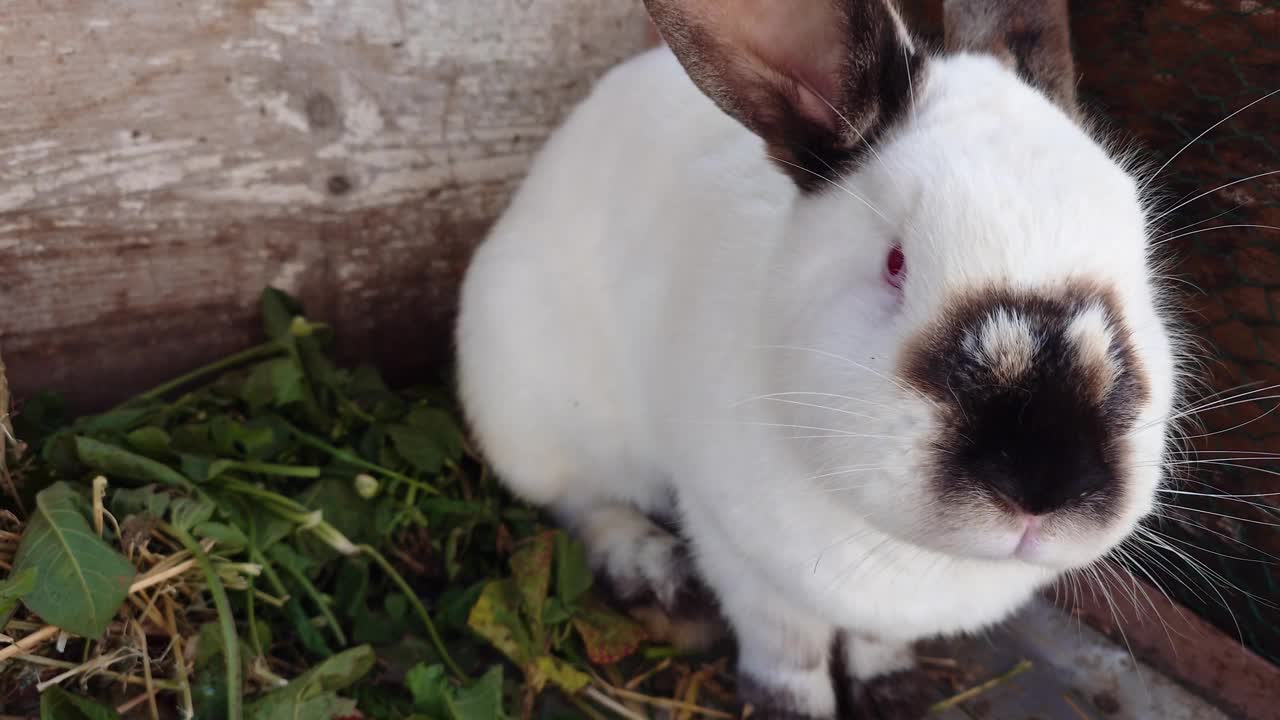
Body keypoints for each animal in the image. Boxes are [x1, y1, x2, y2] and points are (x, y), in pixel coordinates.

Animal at [455, 0, 1182, 712]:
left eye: (1142, 258)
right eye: (895, 263)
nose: (1045, 484)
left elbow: (875, 643)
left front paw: (895, 692)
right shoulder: (739, 555)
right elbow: (788, 650)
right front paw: (790, 705)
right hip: (530, 410)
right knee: (582, 500)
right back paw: (654, 573)